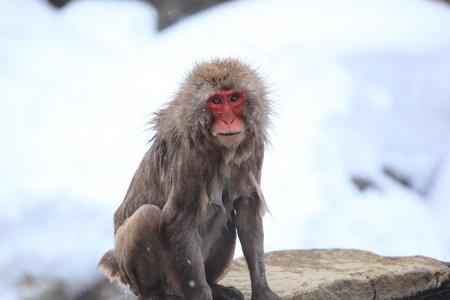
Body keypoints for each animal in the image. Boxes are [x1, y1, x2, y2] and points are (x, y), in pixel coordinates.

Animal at [99, 58, 280, 300]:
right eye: (216, 101)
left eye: (234, 98)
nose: (229, 120)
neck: (219, 147)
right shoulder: (190, 157)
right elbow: (179, 219)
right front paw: (202, 295)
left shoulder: (254, 148)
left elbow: (247, 209)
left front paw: (262, 290)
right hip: (153, 279)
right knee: (146, 216)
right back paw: (156, 293)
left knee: (227, 212)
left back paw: (214, 286)